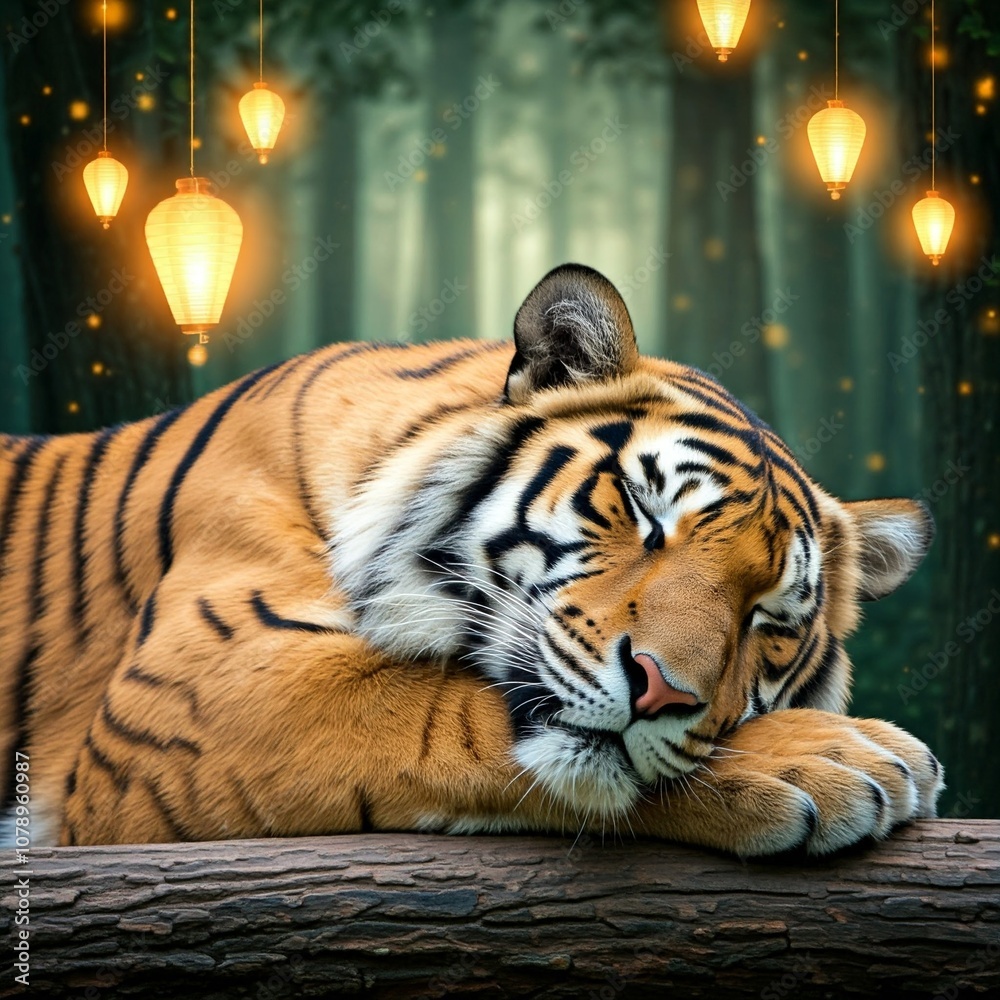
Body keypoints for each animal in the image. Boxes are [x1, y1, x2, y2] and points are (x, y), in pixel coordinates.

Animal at [0, 263, 943, 855]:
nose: (662, 693)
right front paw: (841, 757)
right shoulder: (196, 694)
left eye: (769, 618)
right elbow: (440, 709)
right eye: (643, 513)